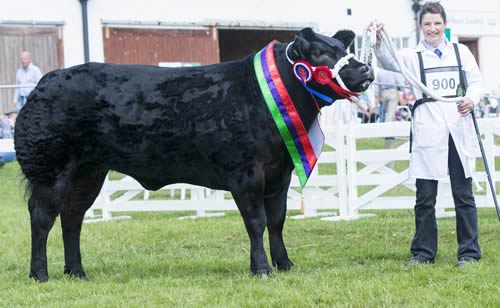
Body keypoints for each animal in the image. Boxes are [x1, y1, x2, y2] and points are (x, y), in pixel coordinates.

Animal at [13, 27, 374, 282]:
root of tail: (48, 80)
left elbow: (277, 220)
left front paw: (285, 264)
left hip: (89, 171)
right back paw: (40, 274)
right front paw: (261, 269)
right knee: (42, 216)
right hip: (51, 169)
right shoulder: (246, 173)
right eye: (321, 53)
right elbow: (256, 222)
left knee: (72, 217)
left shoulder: (279, 172)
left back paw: (77, 272)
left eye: (345, 50)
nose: (366, 70)